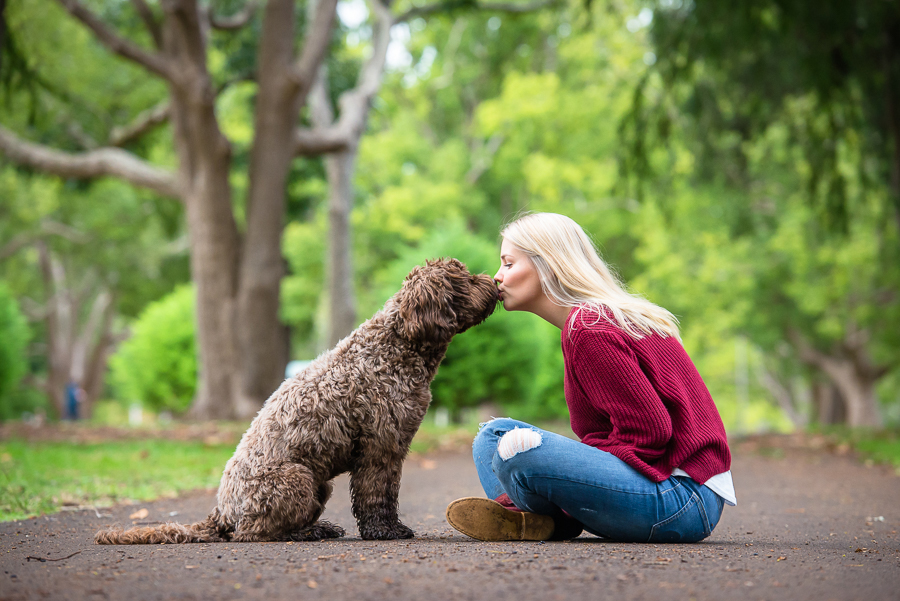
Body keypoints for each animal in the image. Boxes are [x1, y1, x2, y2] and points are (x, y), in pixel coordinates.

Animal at [96, 258, 500, 544]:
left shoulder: (387, 447)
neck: (396, 346)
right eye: (464, 279)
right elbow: (377, 495)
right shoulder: (380, 448)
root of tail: (221, 512)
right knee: (254, 533)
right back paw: (310, 532)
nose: (495, 284)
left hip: (317, 485)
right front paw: (385, 531)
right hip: (297, 479)